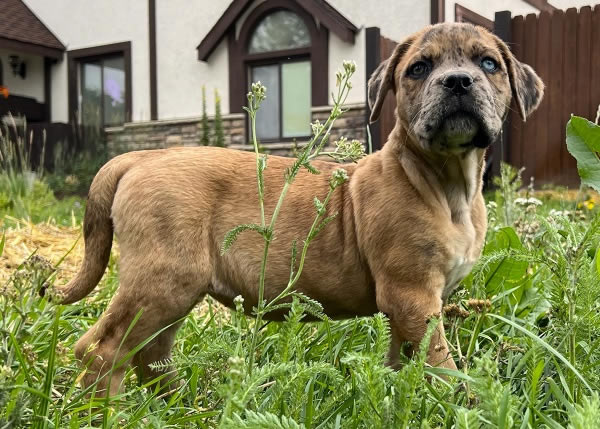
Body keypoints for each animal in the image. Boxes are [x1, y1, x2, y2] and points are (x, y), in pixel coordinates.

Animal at [51, 22, 544, 392]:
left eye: (489, 64)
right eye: (419, 69)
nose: (458, 81)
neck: (444, 181)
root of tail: (141, 156)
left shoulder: (408, 308)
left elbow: (405, 360)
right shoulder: (412, 294)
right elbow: (441, 363)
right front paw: (464, 404)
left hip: (171, 290)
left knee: (150, 352)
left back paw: (177, 405)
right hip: (163, 279)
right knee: (104, 349)